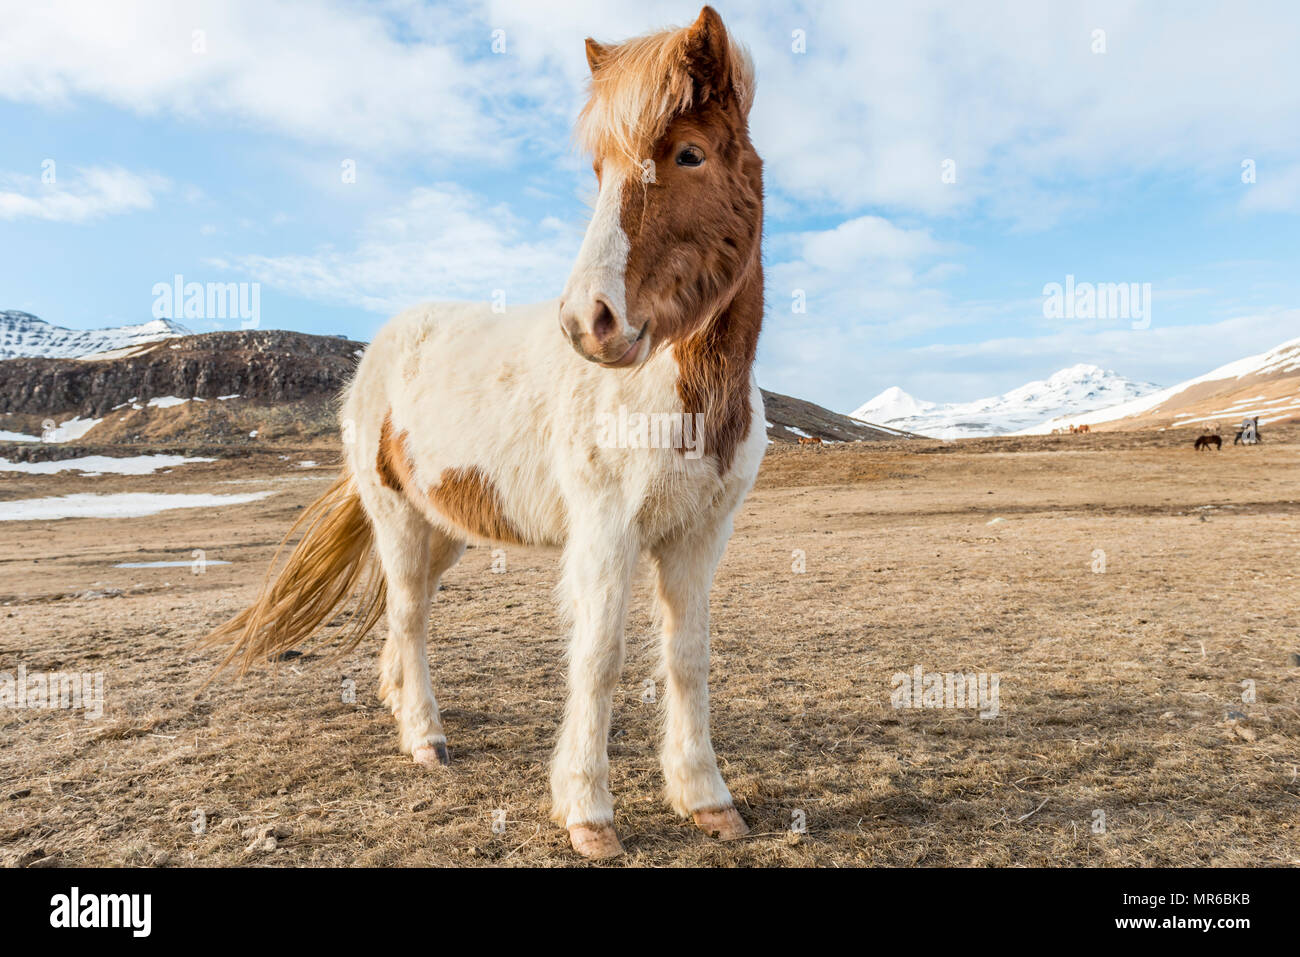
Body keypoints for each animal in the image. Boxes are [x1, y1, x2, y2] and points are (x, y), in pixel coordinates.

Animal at [204, 7, 763, 861]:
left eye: (690, 153)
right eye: (598, 171)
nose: (589, 321)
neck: (682, 392)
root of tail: (378, 354)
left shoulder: (699, 535)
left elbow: (688, 658)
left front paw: (707, 799)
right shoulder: (607, 531)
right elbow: (598, 657)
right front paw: (588, 811)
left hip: (446, 527)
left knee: (408, 611)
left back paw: (398, 700)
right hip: (398, 518)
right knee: (409, 613)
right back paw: (423, 736)